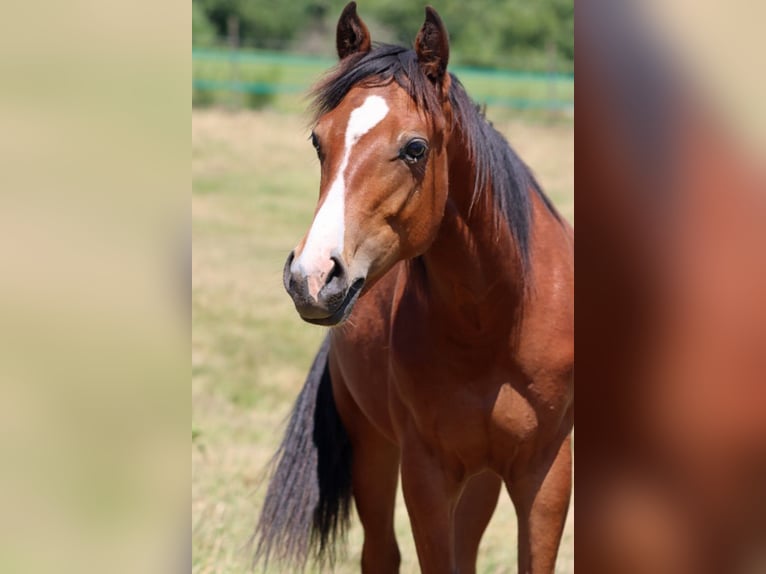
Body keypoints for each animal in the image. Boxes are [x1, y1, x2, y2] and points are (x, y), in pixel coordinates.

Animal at [253, 4, 574, 573]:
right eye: (318, 140)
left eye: (415, 148)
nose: (310, 279)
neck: (495, 321)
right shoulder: (426, 473)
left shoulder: (548, 471)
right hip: (375, 451)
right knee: (381, 552)